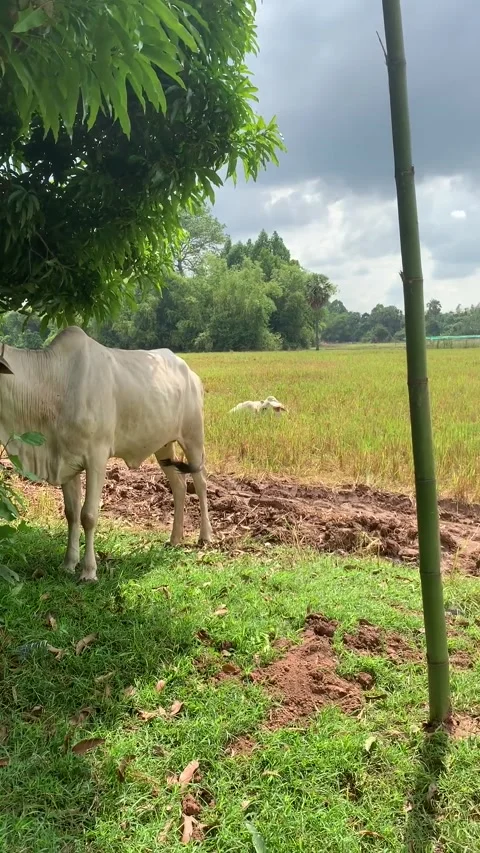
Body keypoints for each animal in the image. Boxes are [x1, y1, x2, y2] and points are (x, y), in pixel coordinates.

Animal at [0, 327, 212, 582]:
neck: (54, 383)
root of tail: (192, 374)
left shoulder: (96, 459)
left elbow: (88, 515)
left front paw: (89, 571)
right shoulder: (66, 462)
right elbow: (71, 513)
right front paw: (68, 564)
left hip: (193, 439)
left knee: (200, 483)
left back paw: (205, 537)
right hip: (164, 446)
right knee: (179, 486)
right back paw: (174, 539)